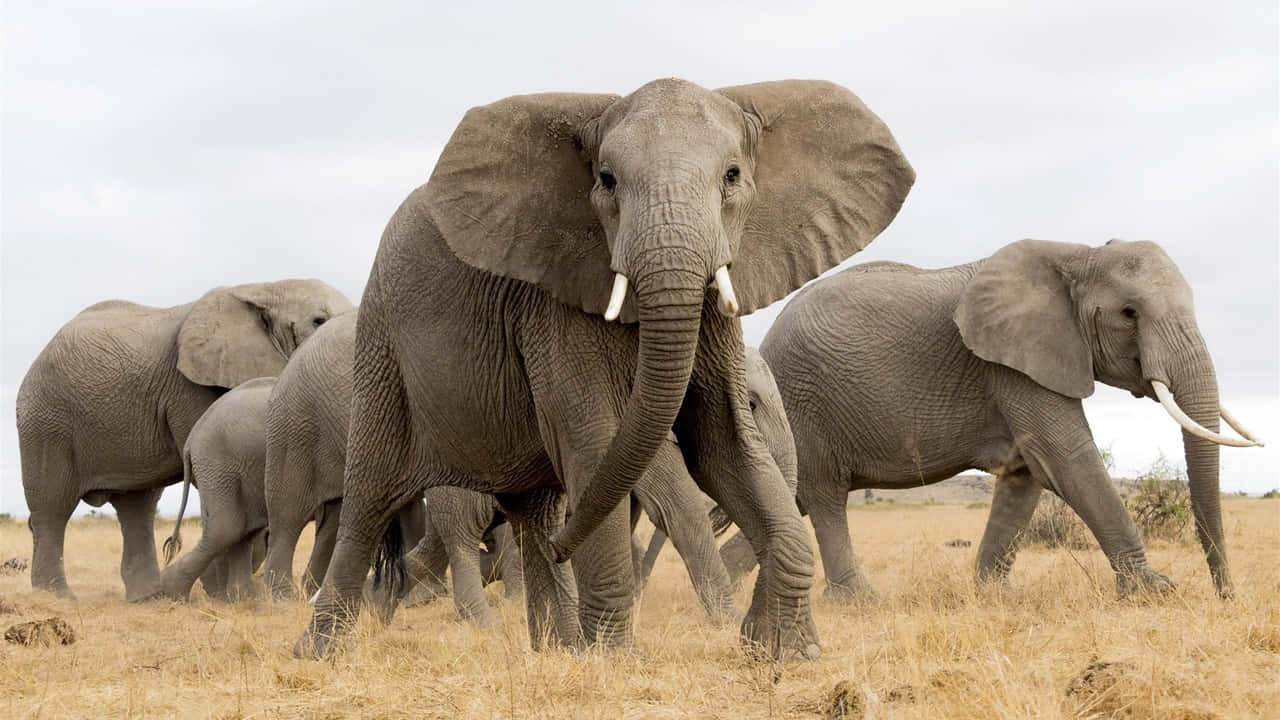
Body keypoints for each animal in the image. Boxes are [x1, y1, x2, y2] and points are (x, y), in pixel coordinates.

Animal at [16, 279, 354, 601]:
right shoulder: (189, 387)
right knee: (52, 505)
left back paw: (147, 597)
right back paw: (59, 597)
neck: (265, 287)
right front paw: (220, 592)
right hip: (45, 421)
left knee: (137, 506)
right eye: (318, 320)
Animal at [295, 77, 914, 660]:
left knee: (536, 511)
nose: (568, 546)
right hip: (383, 345)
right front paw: (612, 658)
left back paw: (555, 645)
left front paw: (783, 651)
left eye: (733, 176)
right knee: (370, 498)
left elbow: (724, 443)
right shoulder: (554, 308)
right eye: (608, 181)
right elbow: (598, 444)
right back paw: (320, 651)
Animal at [754, 239, 1261, 600]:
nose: (1226, 596)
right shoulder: (1011, 364)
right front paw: (1155, 592)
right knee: (825, 498)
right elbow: (1067, 456)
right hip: (801, 403)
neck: (1078, 255)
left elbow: (1025, 472)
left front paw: (995, 596)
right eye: (1129, 313)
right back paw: (859, 602)